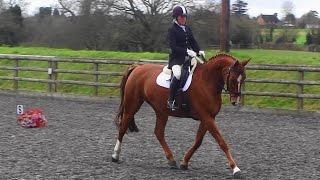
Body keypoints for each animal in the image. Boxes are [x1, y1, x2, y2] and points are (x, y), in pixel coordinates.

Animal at [111, 53, 249, 179]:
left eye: (243, 79)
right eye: (233, 79)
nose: (235, 101)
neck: (207, 80)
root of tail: (137, 67)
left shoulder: (208, 117)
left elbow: (198, 141)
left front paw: (184, 162)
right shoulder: (206, 117)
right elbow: (221, 141)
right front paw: (235, 169)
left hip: (161, 111)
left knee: (158, 132)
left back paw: (171, 160)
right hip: (132, 105)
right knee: (123, 127)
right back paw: (115, 156)